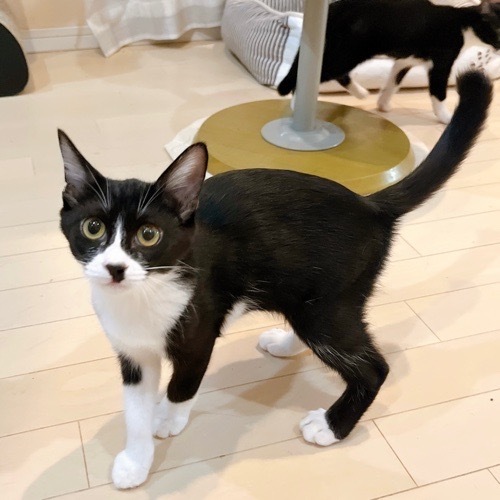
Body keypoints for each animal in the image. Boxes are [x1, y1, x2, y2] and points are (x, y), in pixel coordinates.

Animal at [59, 71, 491, 489]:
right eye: (93, 228)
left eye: (149, 235)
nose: (115, 268)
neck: (142, 297)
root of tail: (370, 203)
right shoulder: (132, 351)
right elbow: (134, 409)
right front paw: (135, 462)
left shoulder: (199, 331)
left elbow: (183, 385)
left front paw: (166, 418)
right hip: (309, 295)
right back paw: (285, 345)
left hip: (330, 304)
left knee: (372, 366)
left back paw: (331, 426)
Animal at [277, 0, 500, 123]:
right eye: (498, 32)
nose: (499, 48)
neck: (462, 24)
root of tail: (333, 8)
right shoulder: (441, 63)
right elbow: (439, 93)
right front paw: (446, 117)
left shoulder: (405, 60)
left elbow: (394, 82)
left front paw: (383, 104)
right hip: (346, 53)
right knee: (318, 73)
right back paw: (297, 105)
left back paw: (361, 93)